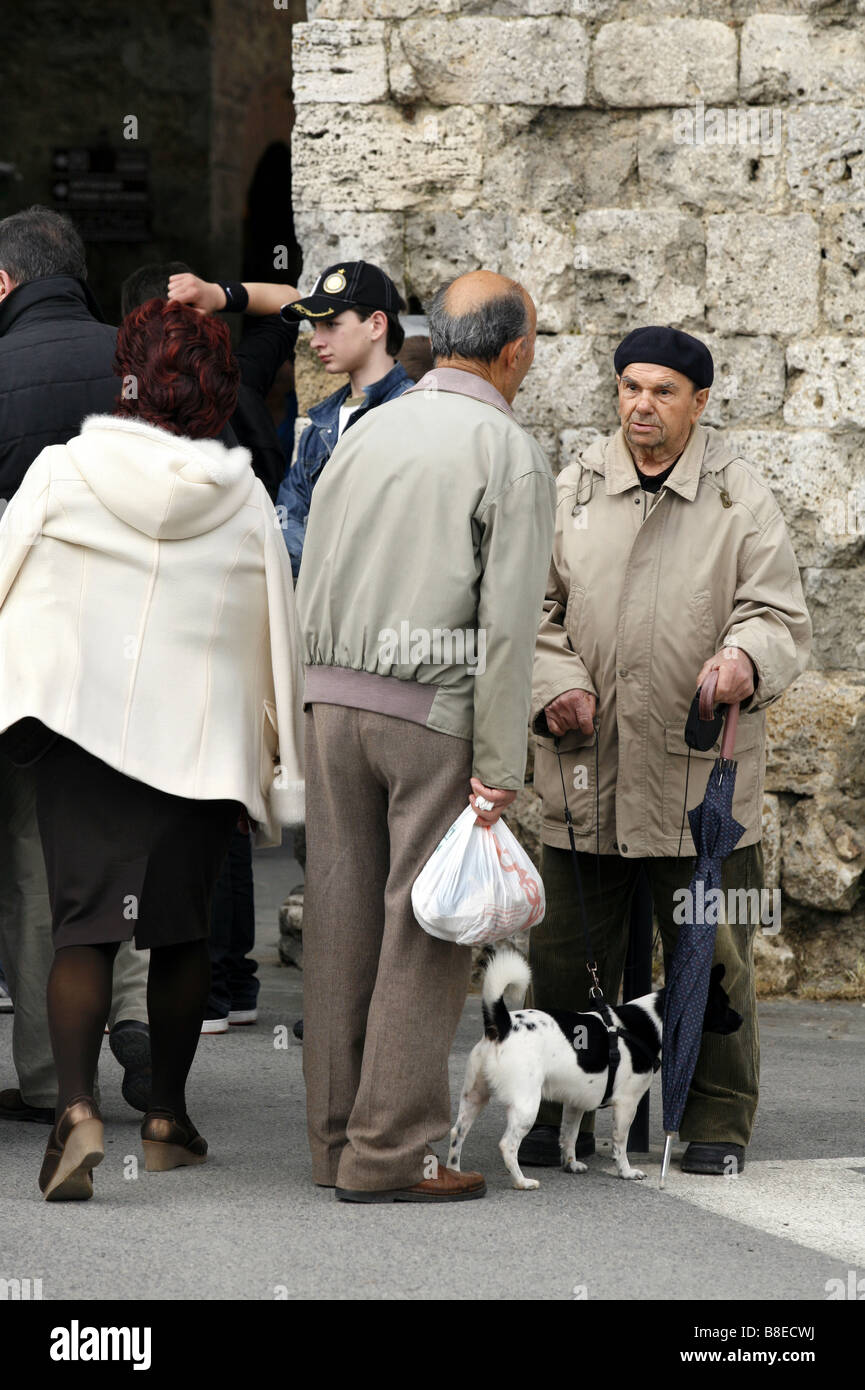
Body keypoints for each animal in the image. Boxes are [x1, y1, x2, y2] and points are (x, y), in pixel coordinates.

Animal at [450, 950, 739, 1189]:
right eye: (723, 1004)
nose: (742, 1019)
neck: (652, 1020)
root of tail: (503, 1024)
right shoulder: (627, 1105)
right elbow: (620, 1144)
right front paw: (626, 1172)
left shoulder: (575, 1103)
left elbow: (569, 1135)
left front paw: (570, 1164)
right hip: (526, 1105)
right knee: (507, 1145)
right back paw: (521, 1181)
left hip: (474, 1096)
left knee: (457, 1134)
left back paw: (456, 1175)